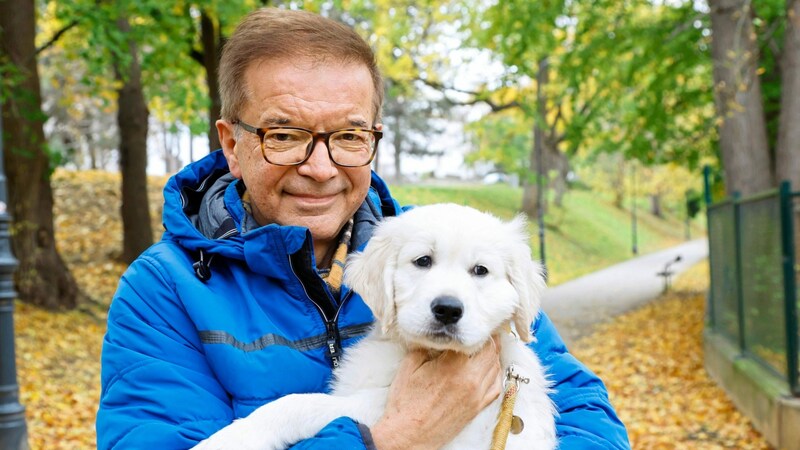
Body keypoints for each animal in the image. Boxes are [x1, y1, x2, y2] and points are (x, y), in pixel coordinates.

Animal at [195, 205, 556, 450]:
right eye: (423, 261)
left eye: (480, 270)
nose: (448, 310)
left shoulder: (375, 405)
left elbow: (301, 402)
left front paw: (231, 438)